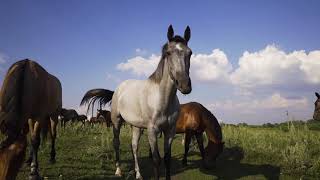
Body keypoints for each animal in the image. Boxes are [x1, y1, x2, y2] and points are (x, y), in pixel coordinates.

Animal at [81, 24, 194, 179]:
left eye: (190, 53)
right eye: (168, 53)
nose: (184, 85)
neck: (162, 100)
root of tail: (119, 89)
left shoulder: (170, 131)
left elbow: (167, 159)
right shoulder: (152, 131)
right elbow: (156, 160)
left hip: (136, 126)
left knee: (134, 147)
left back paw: (138, 174)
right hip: (116, 122)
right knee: (116, 143)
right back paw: (118, 171)